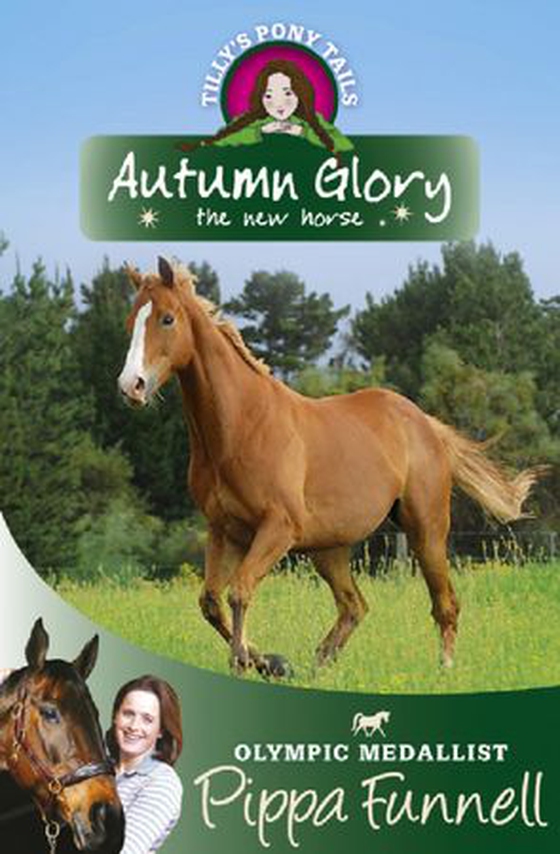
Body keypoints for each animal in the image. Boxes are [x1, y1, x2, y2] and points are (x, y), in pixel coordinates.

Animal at [118, 257, 541, 678]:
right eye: (130, 321)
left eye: (167, 319)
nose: (131, 386)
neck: (241, 426)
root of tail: (425, 424)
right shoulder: (225, 531)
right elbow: (211, 601)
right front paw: (266, 661)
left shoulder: (278, 528)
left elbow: (239, 592)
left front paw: (249, 663)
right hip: (329, 548)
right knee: (354, 606)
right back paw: (317, 667)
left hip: (426, 531)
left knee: (444, 604)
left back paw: (444, 670)